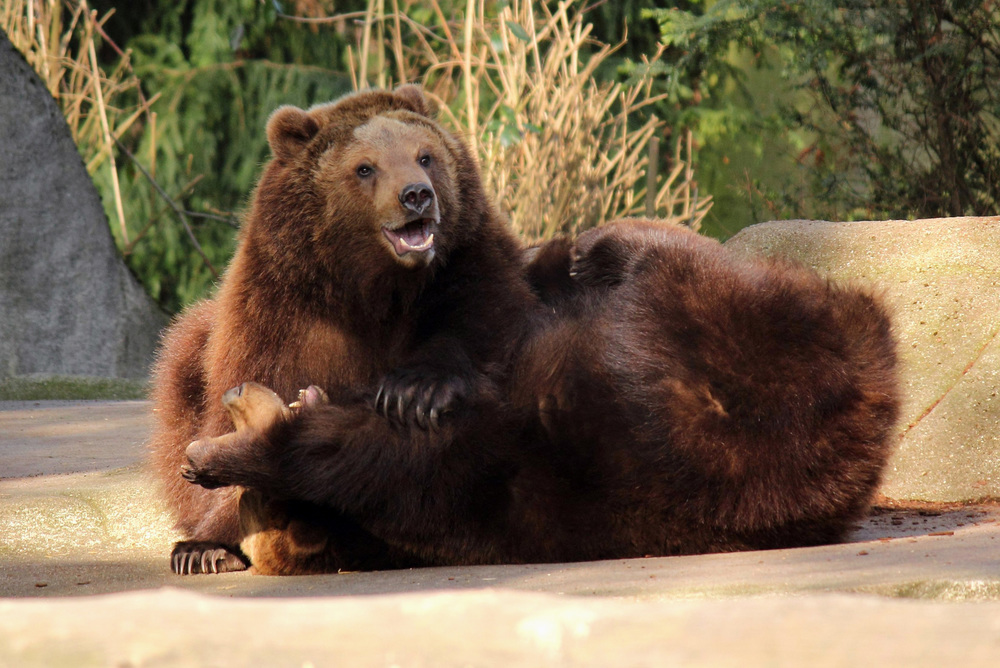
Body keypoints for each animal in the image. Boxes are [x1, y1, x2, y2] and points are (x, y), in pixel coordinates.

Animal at [148, 85, 536, 576]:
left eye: (425, 155)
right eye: (365, 167)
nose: (416, 195)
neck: (373, 289)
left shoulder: (468, 268)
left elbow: (478, 330)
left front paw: (412, 393)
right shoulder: (283, 312)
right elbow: (257, 394)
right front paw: (206, 544)